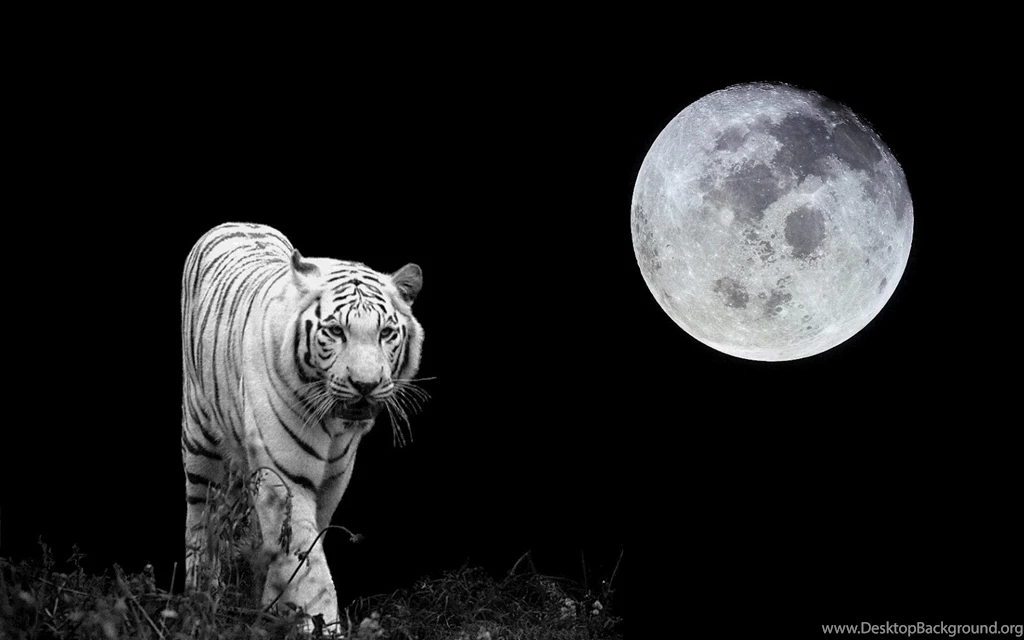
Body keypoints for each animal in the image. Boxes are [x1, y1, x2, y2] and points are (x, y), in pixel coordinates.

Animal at [181, 222, 425, 629]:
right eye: (336, 331)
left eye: (386, 333)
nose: (366, 385)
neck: (335, 424)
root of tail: (236, 222)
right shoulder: (286, 474)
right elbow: (305, 557)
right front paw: (317, 621)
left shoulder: (334, 477)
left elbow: (301, 544)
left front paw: (278, 605)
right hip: (200, 443)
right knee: (202, 519)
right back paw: (199, 598)